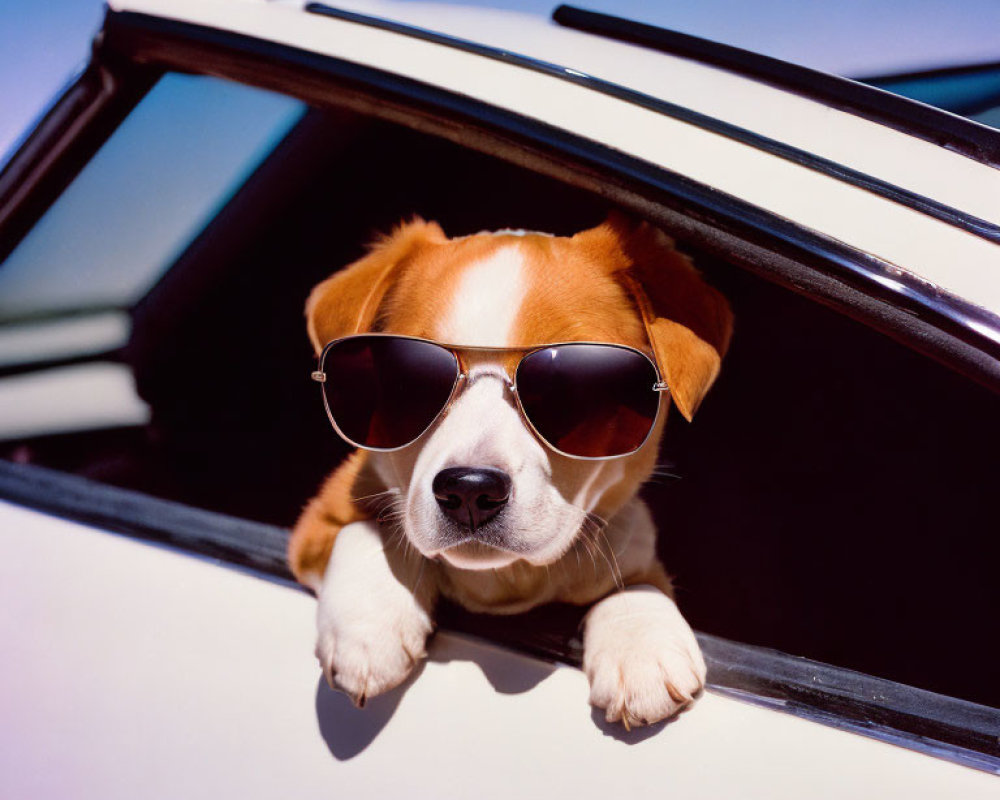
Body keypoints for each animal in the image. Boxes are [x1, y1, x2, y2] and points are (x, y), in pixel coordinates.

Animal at [286, 214, 732, 732]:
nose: (469, 491)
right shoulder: (315, 523)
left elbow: (633, 580)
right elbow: (364, 531)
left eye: (577, 390)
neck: (504, 578)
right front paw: (369, 626)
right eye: (405, 382)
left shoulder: (633, 535)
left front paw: (640, 644)